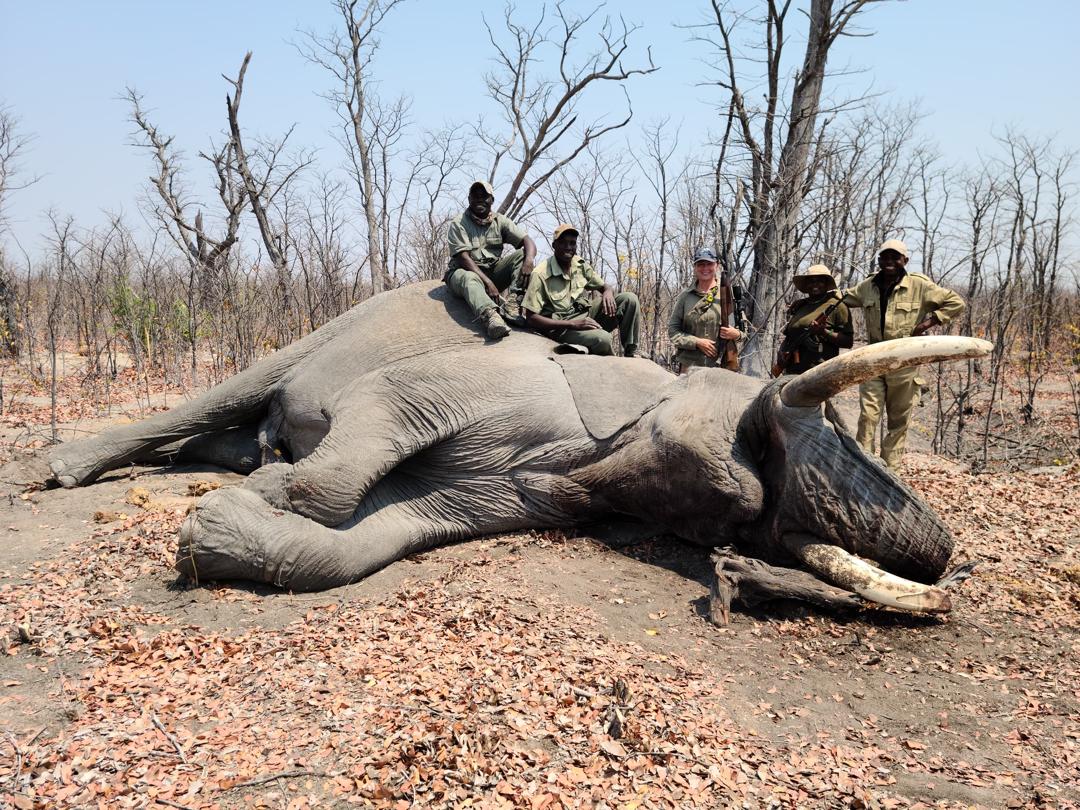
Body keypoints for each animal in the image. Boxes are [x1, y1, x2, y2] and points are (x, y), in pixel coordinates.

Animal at [47, 281, 991, 613]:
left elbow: (381, 535)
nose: (949, 562)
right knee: (241, 387)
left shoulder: (528, 491)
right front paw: (272, 494)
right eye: (762, 435)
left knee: (234, 433)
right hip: (344, 321)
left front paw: (220, 528)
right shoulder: (513, 388)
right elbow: (373, 427)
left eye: (740, 528)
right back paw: (63, 469)